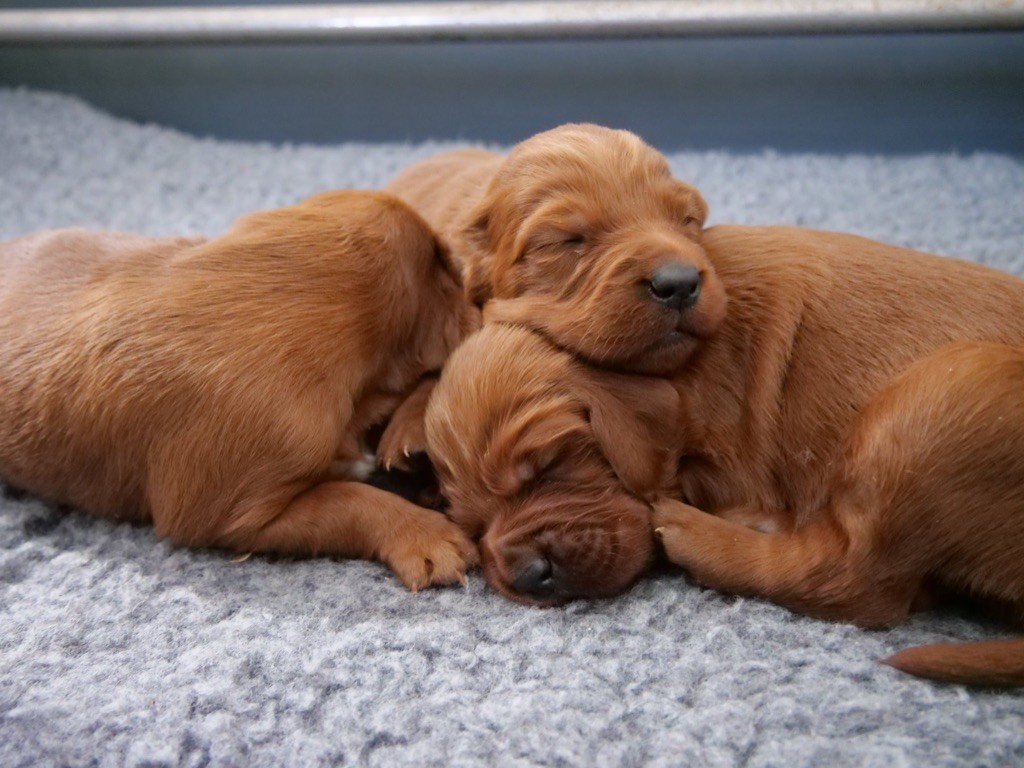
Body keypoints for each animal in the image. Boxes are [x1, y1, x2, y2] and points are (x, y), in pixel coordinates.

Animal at [0, 189, 479, 593]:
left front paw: (411, 436)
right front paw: (426, 536)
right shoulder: (234, 513)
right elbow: (349, 500)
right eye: (448, 266)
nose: (480, 301)